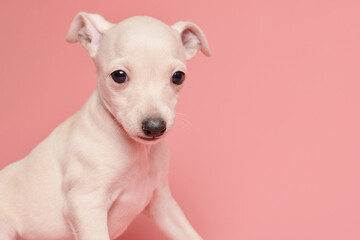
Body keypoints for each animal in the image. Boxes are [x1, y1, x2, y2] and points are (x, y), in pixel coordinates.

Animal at [0, 12, 211, 239]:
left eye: (178, 76)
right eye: (119, 75)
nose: (154, 126)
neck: (137, 152)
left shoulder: (162, 203)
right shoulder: (86, 204)